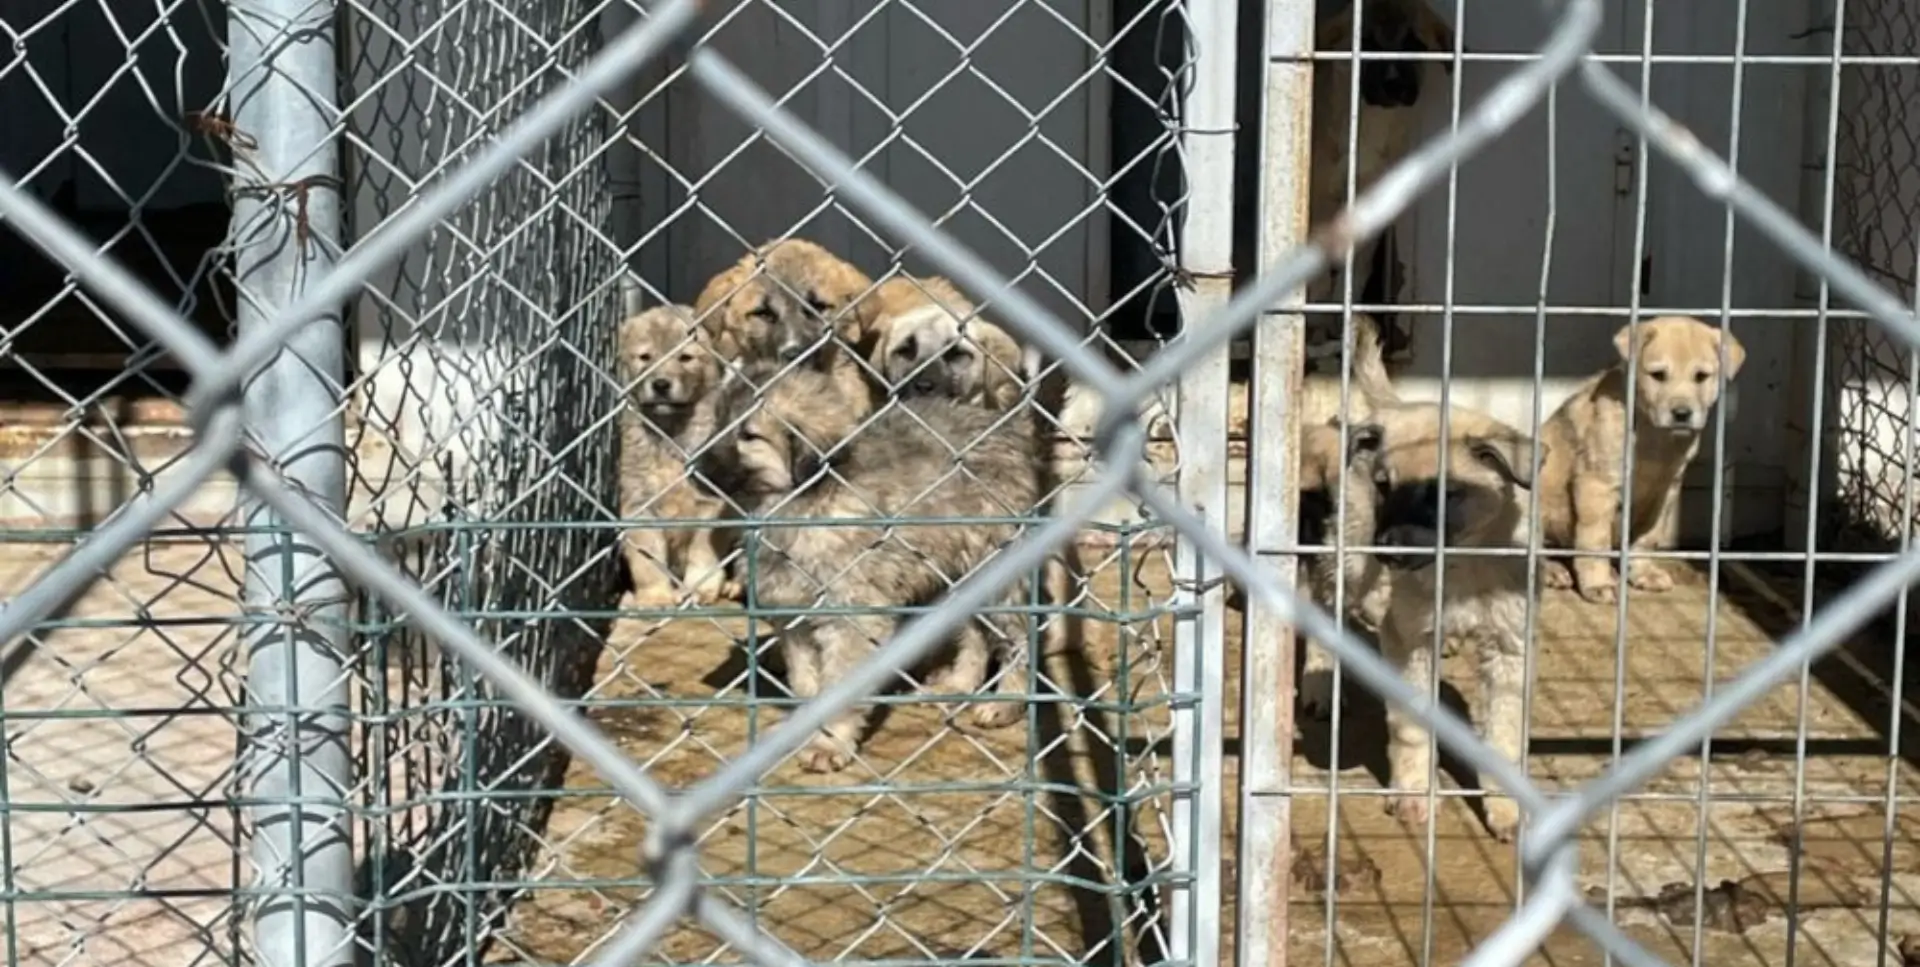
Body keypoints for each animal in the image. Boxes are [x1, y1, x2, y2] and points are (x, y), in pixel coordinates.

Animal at [614, 303, 733, 606]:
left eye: (686, 357)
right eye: (645, 357)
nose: (661, 385)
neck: (671, 431)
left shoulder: (712, 504)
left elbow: (703, 551)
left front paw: (701, 587)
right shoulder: (640, 505)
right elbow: (647, 560)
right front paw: (656, 596)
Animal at [691, 362, 1044, 771]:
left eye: (748, 436)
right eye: (717, 423)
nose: (690, 468)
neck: (804, 500)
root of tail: (1003, 428)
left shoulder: (852, 618)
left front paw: (829, 743)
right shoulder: (792, 618)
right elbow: (806, 681)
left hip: (996, 569)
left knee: (1018, 635)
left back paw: (1008, 702)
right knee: (973, 632)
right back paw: (958, 684)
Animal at [1536, 316, 1751, 606]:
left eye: (1701, 377)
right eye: (1658, 375)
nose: (1681, 414)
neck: (1653, 435)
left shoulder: (1665, 492)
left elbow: (1648, 536)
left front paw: (1642, 572)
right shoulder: (1596, 485)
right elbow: (1595, 540)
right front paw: (1598, 584)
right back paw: (1552, 570)